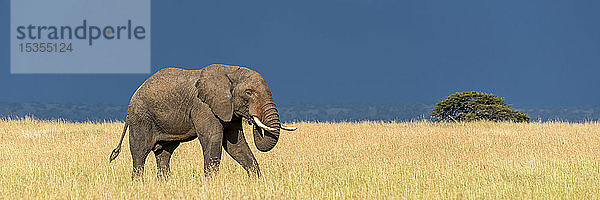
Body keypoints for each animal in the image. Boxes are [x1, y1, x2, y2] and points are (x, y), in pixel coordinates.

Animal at [109, 64, 296, 180]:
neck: (230, 71)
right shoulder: (203, 107)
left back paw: (164, 184)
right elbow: (213, 138)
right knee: (140, 152)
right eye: (249, 93)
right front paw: (212, 184)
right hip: (140, 117)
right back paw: (138, 184)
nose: (252, 119)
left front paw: (256, 181)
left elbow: (235, 145)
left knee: (164, 153)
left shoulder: (228, 110)